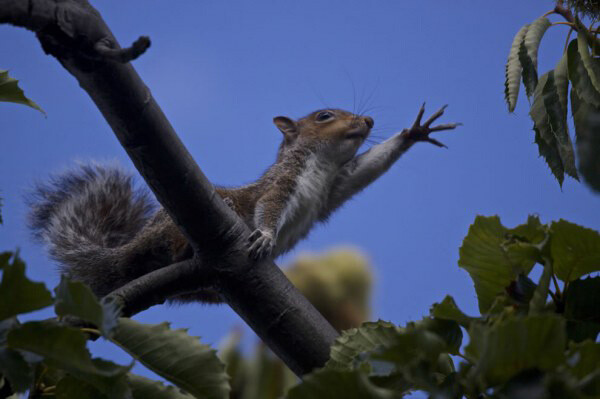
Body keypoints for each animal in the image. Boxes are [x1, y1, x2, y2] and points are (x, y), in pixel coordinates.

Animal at [28, 105, 460, 304]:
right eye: (324, 116)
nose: (367, 120)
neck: (320, 166)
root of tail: (129, 252)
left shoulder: (334, 187)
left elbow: (365, 171)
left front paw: (413, 133)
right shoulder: (280, 184)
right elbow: (268, 206)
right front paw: (266, 236)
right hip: (174, 228)